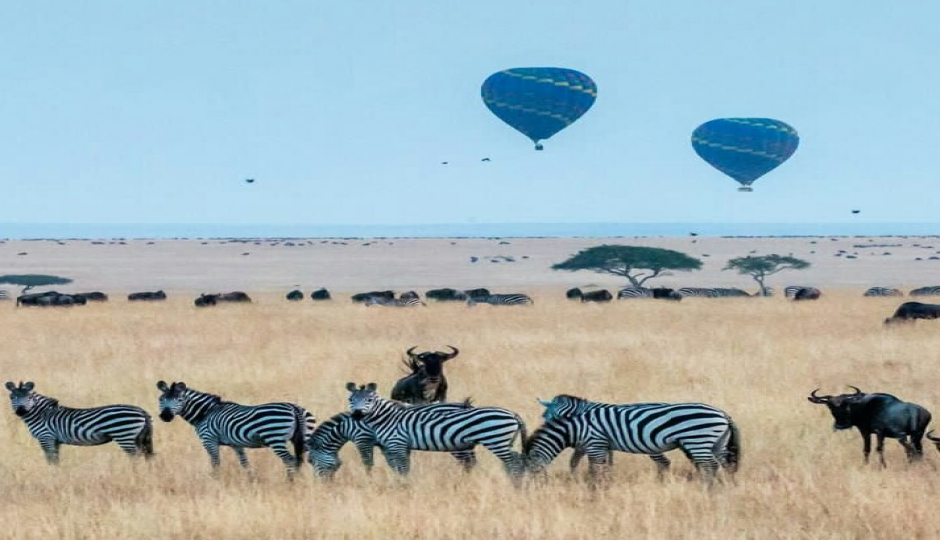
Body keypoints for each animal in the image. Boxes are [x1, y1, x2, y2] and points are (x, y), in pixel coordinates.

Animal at [5, 380, 154, 464]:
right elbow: (56, 460)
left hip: (124, 435)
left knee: (135, 456)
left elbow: (51, 460)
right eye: (12, 397)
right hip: (139, 437)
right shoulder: (55, 440)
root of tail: (141, 411)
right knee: (146, 455)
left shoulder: (46, 437)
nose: (20, 411)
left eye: (29, 397)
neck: (41, 414)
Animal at [154, 382, 314, 478]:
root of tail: (294, 408)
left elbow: (215, 462)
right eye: (161, 399)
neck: (206, 412)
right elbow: (244, 463)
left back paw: (290, 482)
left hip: (275, 438)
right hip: (305, 438)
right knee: (302, 459)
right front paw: (251, 480)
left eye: (179, 400)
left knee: (290, 460)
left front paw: (216, 481)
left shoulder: (209, 440)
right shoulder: (236, 444)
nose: (165, 416)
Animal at [308, 402, 482, 478]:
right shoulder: (386, 444)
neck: (347, 426)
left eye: (311, 461)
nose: (324, 486)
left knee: (468, 462)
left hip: (457, 444)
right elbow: (393, 464)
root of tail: (465, 406)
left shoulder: (363, 439)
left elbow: (367, 463)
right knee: (471, 462)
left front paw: (369, 480)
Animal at [346, 382, 528, 488]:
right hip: (504, 442)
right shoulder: (395, 446)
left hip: (495, 440)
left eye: (369, 400)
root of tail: (513, 414)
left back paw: (516, 484)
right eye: (351, 399)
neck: (388, 418)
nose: (357, 414)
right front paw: (401, 484)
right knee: (515, 459)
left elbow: (401, 468)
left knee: (512, 462)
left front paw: (404, 486)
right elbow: (399, 467)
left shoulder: (396, 443)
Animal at [528, 392, 740, 486]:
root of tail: (723, 414)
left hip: (697, 440)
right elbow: (592, 463)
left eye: (545, 417)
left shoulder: (594, 441)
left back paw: (707, 487)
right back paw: (728, 487)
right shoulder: (600, 443)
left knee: (708, 465)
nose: (543, 427)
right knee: (725, 465)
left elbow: (586, 463)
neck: (584, 415)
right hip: (716, 444)